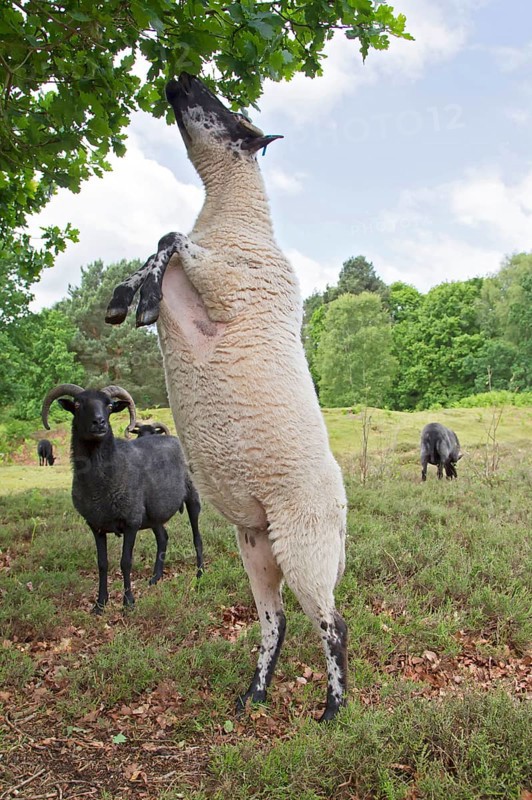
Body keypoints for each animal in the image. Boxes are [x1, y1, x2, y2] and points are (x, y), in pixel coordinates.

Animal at [41, 383, 204, 613]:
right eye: (78, 404)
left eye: (109, 406)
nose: (99, 422)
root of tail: (175, 437)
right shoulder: (96, 525)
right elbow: (102, 564)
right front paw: (100, 604)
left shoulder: (131, 521)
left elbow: (125, 562)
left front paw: (128, 603)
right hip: (153, 513)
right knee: (163, 538)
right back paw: (155, 578)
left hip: (192, 498)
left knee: (197, 538)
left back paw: (199, 576)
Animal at [105, 73, 347, 722]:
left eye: (228, 110)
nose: (181, 77)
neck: (234, 217)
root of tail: (342, 511)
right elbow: (161, 243)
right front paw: (128, 297)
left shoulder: (230, 284)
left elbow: (172, 236)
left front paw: (134, 300)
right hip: (257, 545)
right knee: (275, 620)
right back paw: (253, 695)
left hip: (305, 543)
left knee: (332, 622)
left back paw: (333, 710)